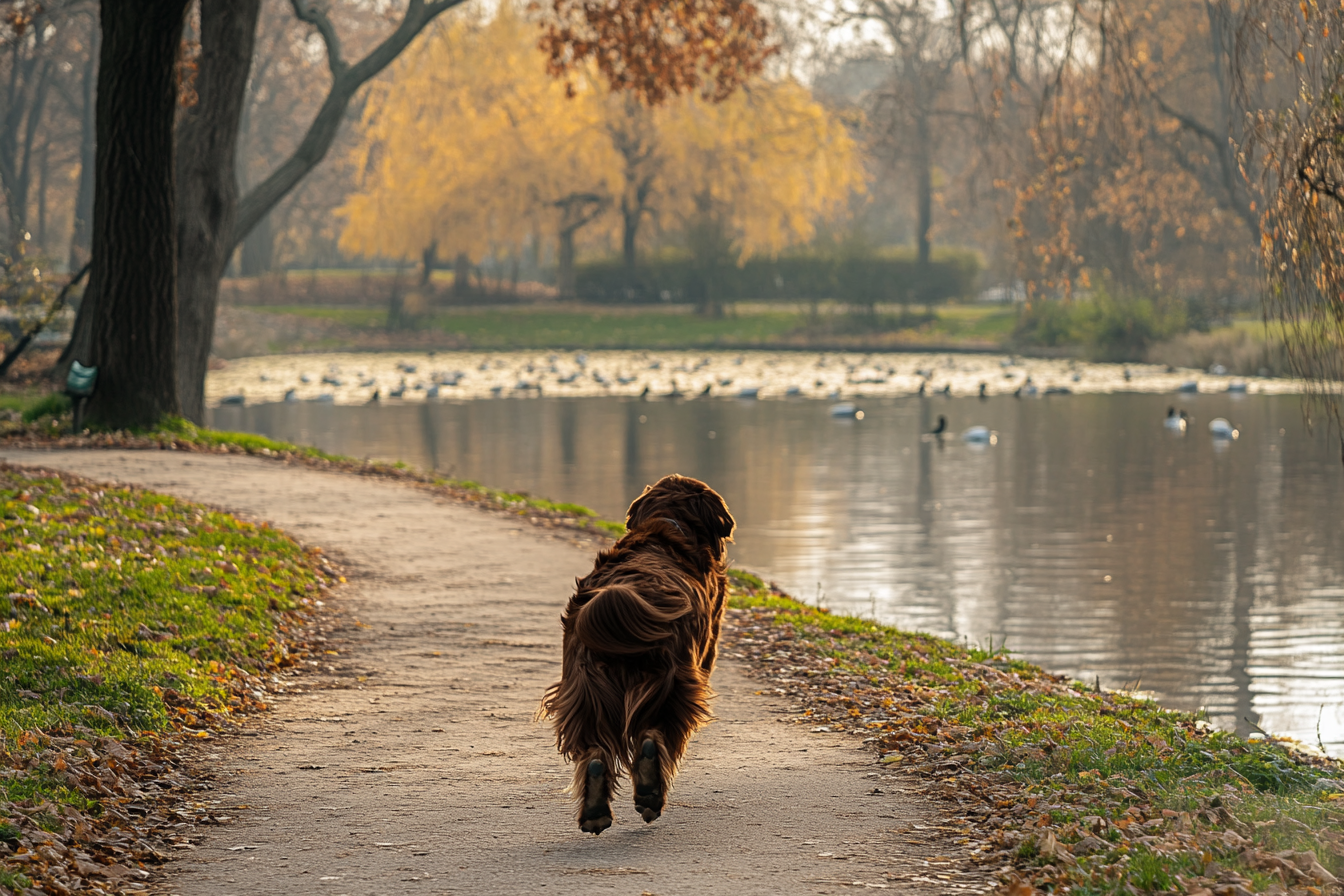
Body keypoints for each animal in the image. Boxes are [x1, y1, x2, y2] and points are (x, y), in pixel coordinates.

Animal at [534, 475, 736, 832]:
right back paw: (650, 792)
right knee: (655, 734)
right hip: (672, 683)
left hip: (585, 690)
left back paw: (596, 807)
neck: (670, 523)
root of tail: (628, 589)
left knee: (594, 750)